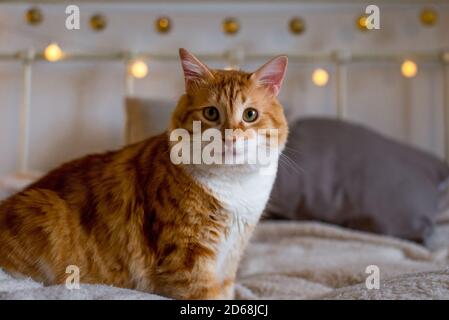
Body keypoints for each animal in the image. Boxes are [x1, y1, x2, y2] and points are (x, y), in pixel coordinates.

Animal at [0, 48, 288, 298]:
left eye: (250, 114)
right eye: (211, 113)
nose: (230, 137)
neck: (234, 188)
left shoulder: (230, 257)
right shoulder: (187, 257)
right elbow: (204, 292)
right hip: (42, 206)